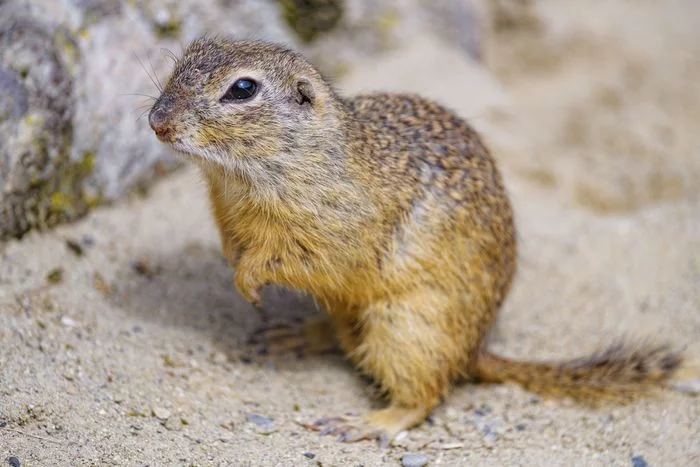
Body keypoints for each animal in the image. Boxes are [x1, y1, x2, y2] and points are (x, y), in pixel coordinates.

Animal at [145, 36, 688, 446]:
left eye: (242, 89)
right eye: (188, 55)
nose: (157, 122)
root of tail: (475, 351)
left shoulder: (331, 238)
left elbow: (289, 260)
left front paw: (248, 282)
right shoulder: (225, 213)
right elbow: (232, 244)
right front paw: (235, 266)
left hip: (406, 332)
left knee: (424, 395)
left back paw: (370, 422)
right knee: (343, 339)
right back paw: (292, 335)